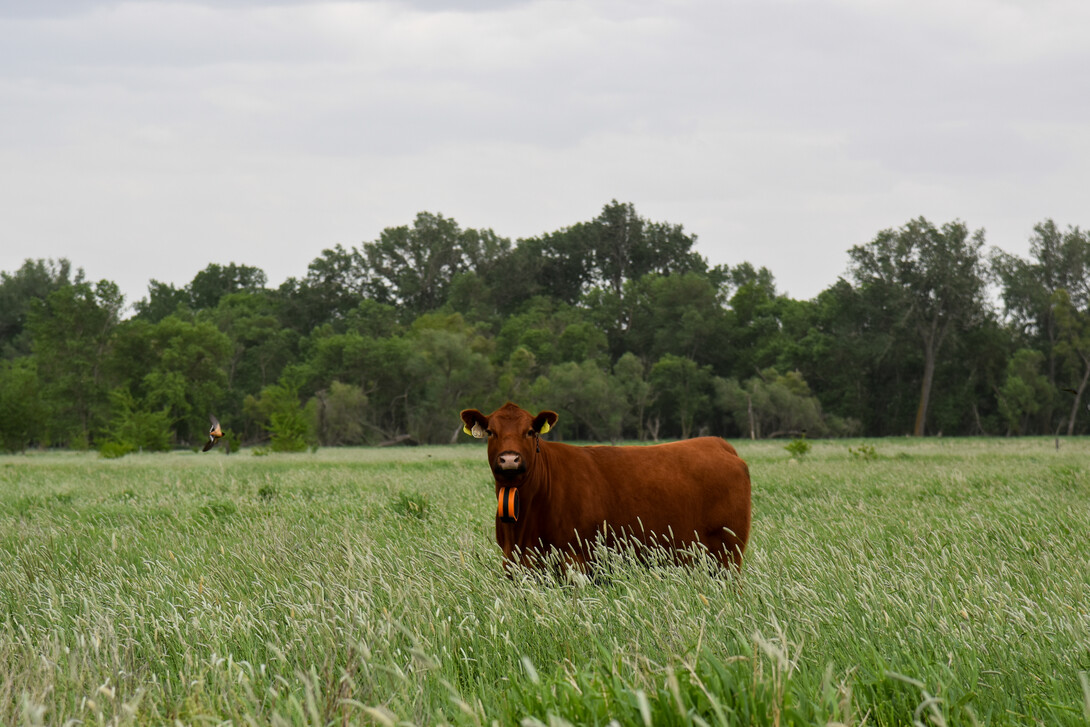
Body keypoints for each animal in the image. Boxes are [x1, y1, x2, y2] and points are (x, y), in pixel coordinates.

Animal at [460, 402, 751, 573]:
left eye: (530, 432)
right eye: (491, 432)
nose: (510, 459)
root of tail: (717, 443)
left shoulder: (574, 559)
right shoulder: (513, 561)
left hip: (728, 553)